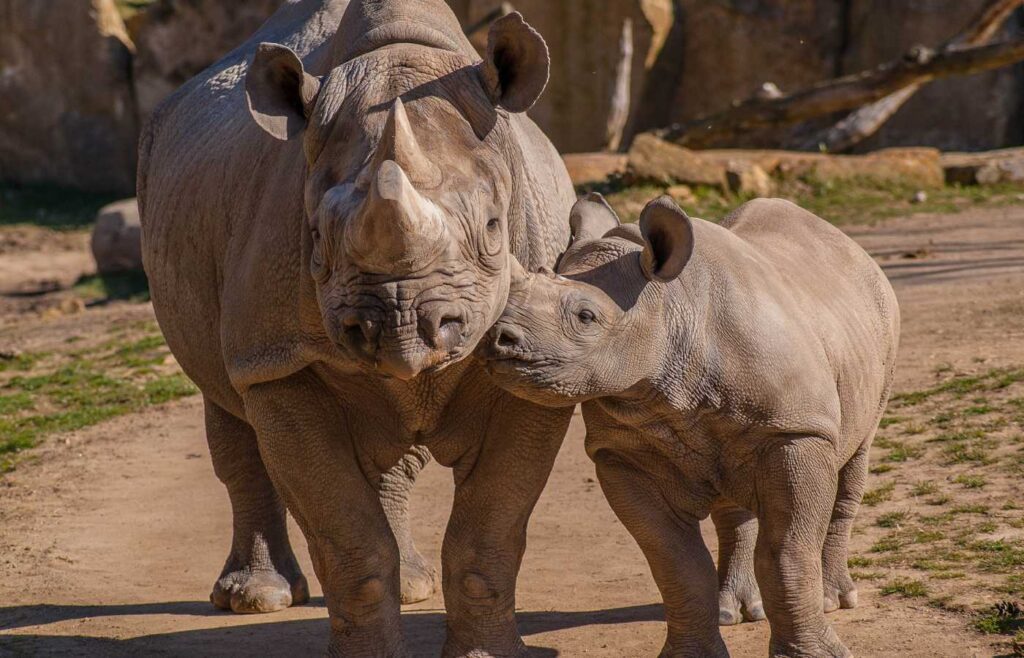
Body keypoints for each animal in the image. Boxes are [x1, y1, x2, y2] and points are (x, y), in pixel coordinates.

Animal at [138, 0, 577, 654]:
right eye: (316, 240)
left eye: (496, 228)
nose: (401, 325)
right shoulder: (279, 359)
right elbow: (348, 536)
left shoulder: (536, 366)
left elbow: (489, 531)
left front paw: (484, 652)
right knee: (226, 400)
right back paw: (254, 599)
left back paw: (413, 587)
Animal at [483, 195, 901, 658]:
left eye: (586, 316)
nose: (498, 338)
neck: (670, 306)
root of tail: (852, 248)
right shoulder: (622, 452)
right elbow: (676, 563)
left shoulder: (796, 431)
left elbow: (786, 553)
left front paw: (814, 654)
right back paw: (734, 611)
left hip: (879, 329)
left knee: (854, 459)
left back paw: (835, 599)